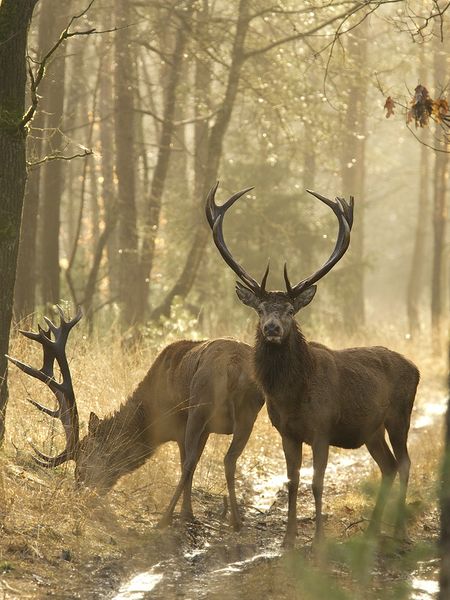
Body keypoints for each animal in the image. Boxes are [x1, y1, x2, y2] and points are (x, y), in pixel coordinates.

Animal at [7, 310, 264, 528]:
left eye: (83, 461)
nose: (78, 490)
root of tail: (233, 367)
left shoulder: (181, 427)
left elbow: (187, 463)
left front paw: (186, 514)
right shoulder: (207, 430)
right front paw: (189, 514)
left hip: (199, 406)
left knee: (191, 462)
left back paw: (165, 519)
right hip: (249, 411)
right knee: (230, 458)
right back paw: (236, 521)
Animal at [206, 184, 420, 548]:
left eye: (291, 311)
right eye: (260, 309)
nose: (272, 328)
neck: (292, 396)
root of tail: (416, 368)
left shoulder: (323, 428)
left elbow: (317, 484)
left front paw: (318, 538)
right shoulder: (286, 432)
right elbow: (292, 482)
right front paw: (288, 539)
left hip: (399, 413)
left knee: (404, 463)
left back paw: (399, 533)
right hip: (372, 429)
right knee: (388, 466)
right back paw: (372, 531)